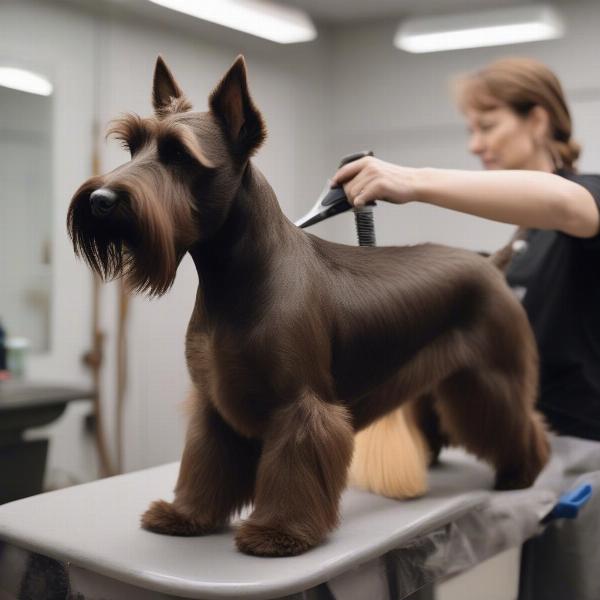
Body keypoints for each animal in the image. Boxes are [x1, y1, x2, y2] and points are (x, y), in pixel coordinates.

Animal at [65, 54, 548, 556]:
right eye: (132, 148)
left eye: (180, 155)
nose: (100, 200)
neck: (232, 280)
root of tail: (491, 264)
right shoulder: (213, 400)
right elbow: (205, 462)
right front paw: (187, 515)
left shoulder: (300, 406)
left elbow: (294, 471)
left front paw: (280, 532)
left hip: (491, 377)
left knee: (522, 422)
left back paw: (521, 472)